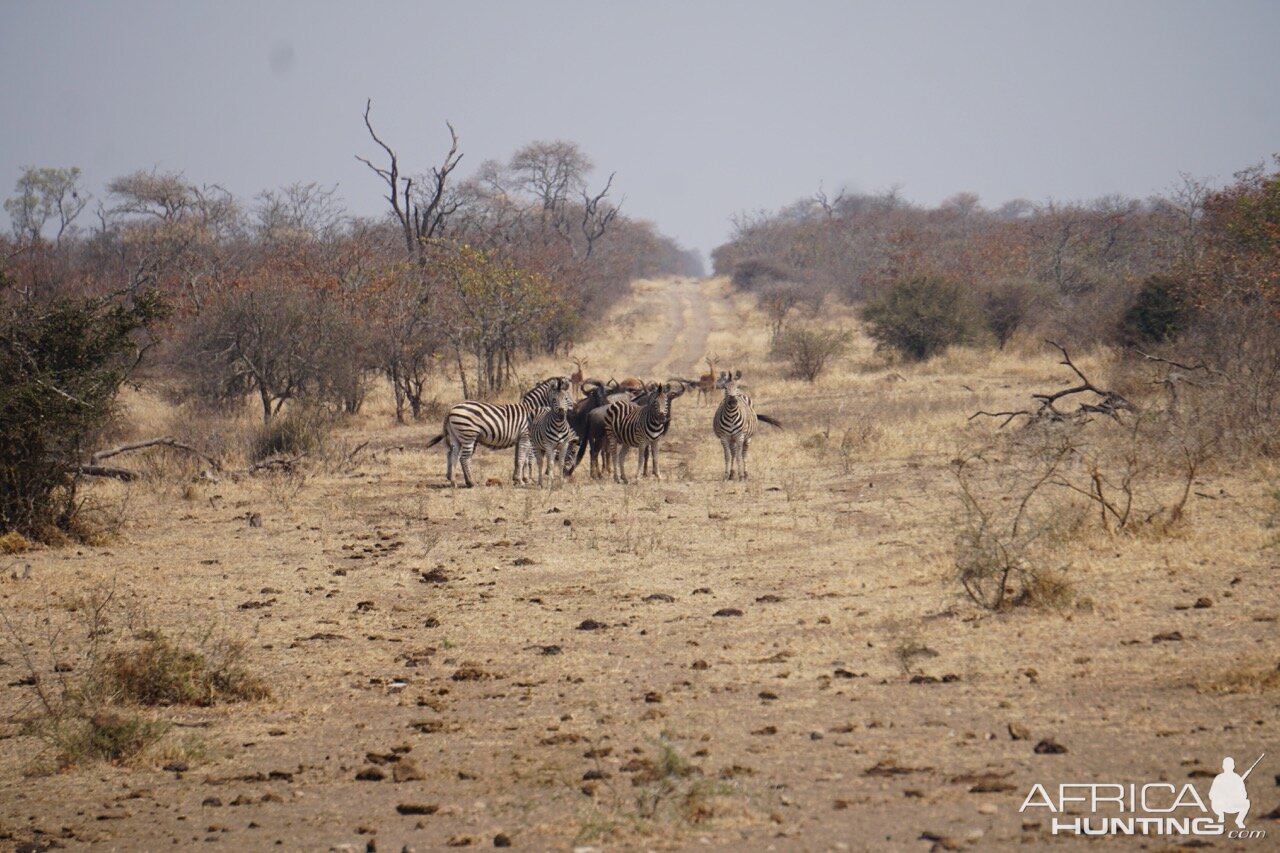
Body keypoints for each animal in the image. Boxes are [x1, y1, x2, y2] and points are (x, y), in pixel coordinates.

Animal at [427, 376, 573, 489]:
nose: (573, 406)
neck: (533, 411)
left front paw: (518, 479)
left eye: (566, 398)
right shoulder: (526, 437)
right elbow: (523, 459)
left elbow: (519, 459)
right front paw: (522, 481)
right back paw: (471, 483)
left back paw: (453, 482)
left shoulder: (521, 439)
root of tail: (451, 409)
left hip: (457, 437)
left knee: (453, 455)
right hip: (469, 435)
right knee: (464, 458)